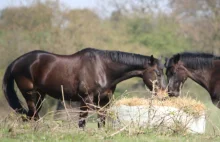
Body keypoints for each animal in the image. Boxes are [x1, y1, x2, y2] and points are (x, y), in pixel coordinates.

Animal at [3, 47, 165, 127]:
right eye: (157, 73)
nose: (163, 96)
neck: (103, 68)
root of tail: (16, 62)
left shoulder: (103, 102)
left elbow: (101, 123)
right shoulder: (85, 100)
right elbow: (82, 123)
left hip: (40, 95)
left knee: (32, 116)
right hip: (30, 94)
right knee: (33, 116)